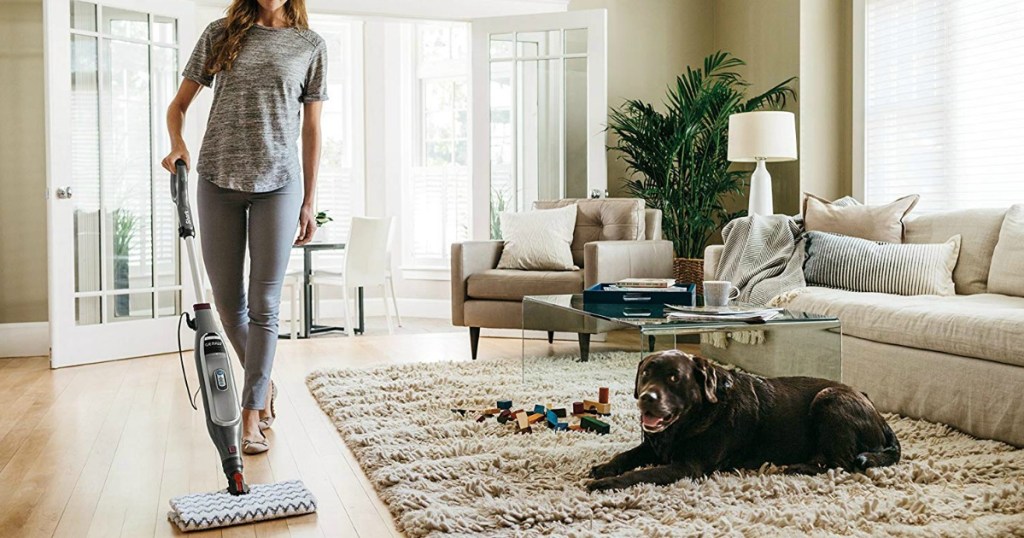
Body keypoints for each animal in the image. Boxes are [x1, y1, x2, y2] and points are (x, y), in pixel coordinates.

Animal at [589, 348, 901, 489]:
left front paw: (606, 483)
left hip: (829, 398)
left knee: (841, 463)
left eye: (674, 377)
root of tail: (880, 415)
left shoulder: (688, 466)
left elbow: (641, 474)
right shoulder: (654, 445)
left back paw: (795, 468)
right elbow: (626, 456)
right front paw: (605, 467)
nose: (646, 398)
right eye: (646, 373)